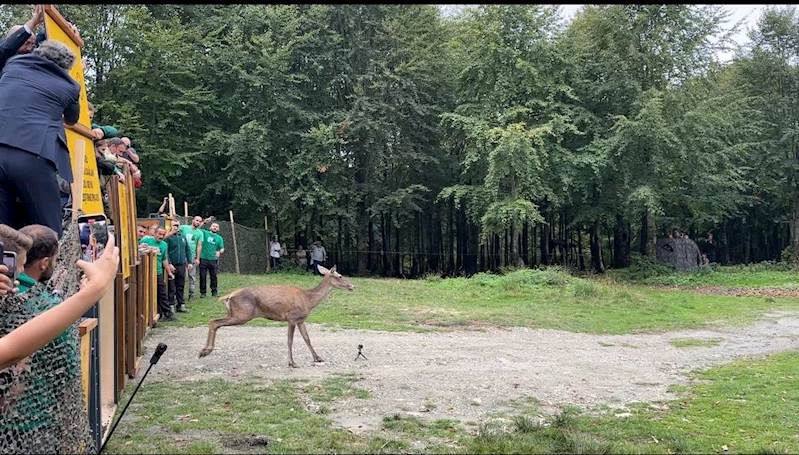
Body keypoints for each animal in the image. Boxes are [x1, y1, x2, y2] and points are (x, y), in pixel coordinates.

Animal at [197, 266, 354, 368]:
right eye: (340, 276)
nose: (352, 286)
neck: (308, 301)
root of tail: (228, 296)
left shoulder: (301, 320)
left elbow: (307, 338)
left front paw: (318, 358)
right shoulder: (292, 318)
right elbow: (290, 341)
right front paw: (292, 362)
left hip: (235, 314)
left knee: (214, 321)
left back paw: (204, 351)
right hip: (242, 315)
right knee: (214, 321)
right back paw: (204, 351)